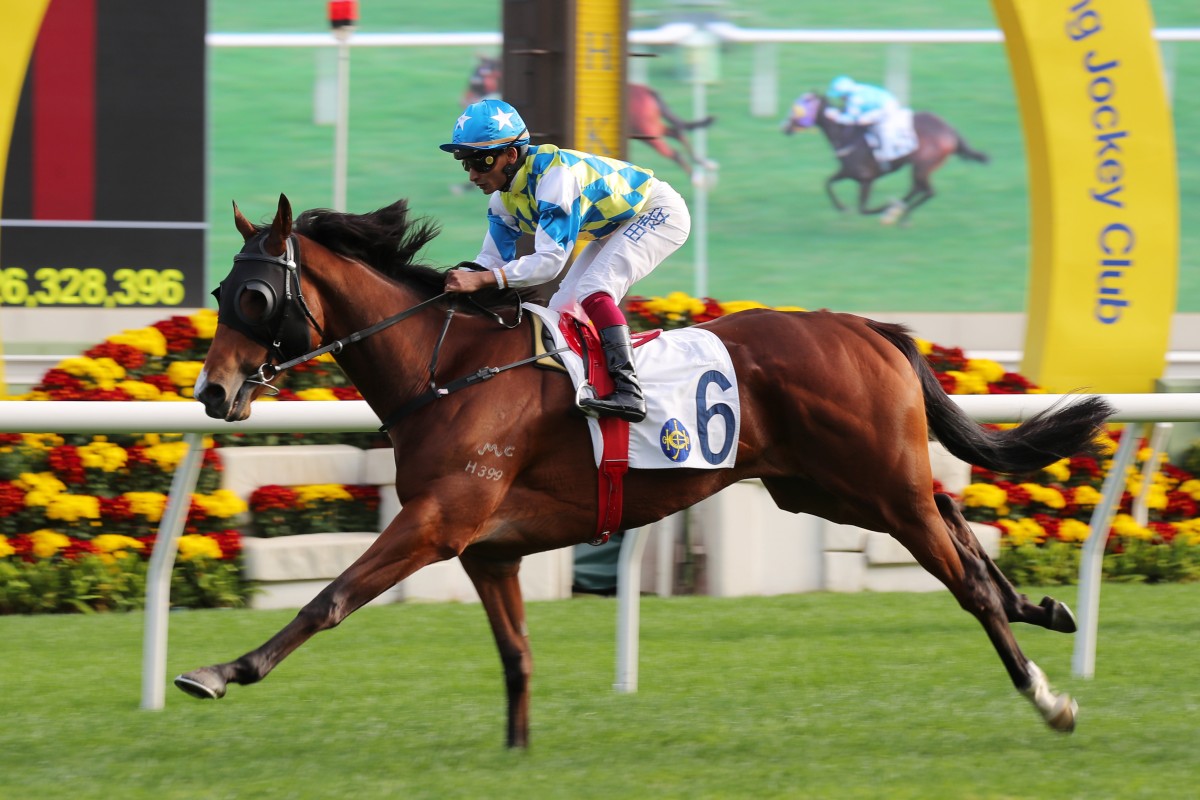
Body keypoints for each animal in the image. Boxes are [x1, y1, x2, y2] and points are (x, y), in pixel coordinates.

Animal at [177, 195, 1113, 753]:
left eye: (256, 298)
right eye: (221, 291)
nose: (213, 391)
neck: (449, 369)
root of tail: (866, 326)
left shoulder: (438, 524)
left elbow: (328, 600)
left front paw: (218, 672)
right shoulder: (489, 549)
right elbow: (516, 653)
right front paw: (517, 752)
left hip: (874, 481)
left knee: (966, 581)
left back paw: (1048, 696)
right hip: (831, 486)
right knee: (953, 514)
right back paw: (1043, 607)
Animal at [463, 58, 715, 178]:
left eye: (479, 76)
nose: (464, 98)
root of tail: (648, 91)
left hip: (648, 132)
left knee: (675, 149)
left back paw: (698, 175)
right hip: (651, 130)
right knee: (677, 132)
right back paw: (704, 165)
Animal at [782, 92, 988, 226]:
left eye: (796, 109)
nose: (783, 127)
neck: (846, 134)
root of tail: (950, 130)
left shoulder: (866, 178)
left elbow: (863, 208)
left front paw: (883, 209)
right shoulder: (848, 172)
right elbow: (828, 183)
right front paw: (842, 208)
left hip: (923, 165)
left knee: (928, 191)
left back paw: (898, 215)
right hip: (920, 168)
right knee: (917, 189)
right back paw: (897, 210)